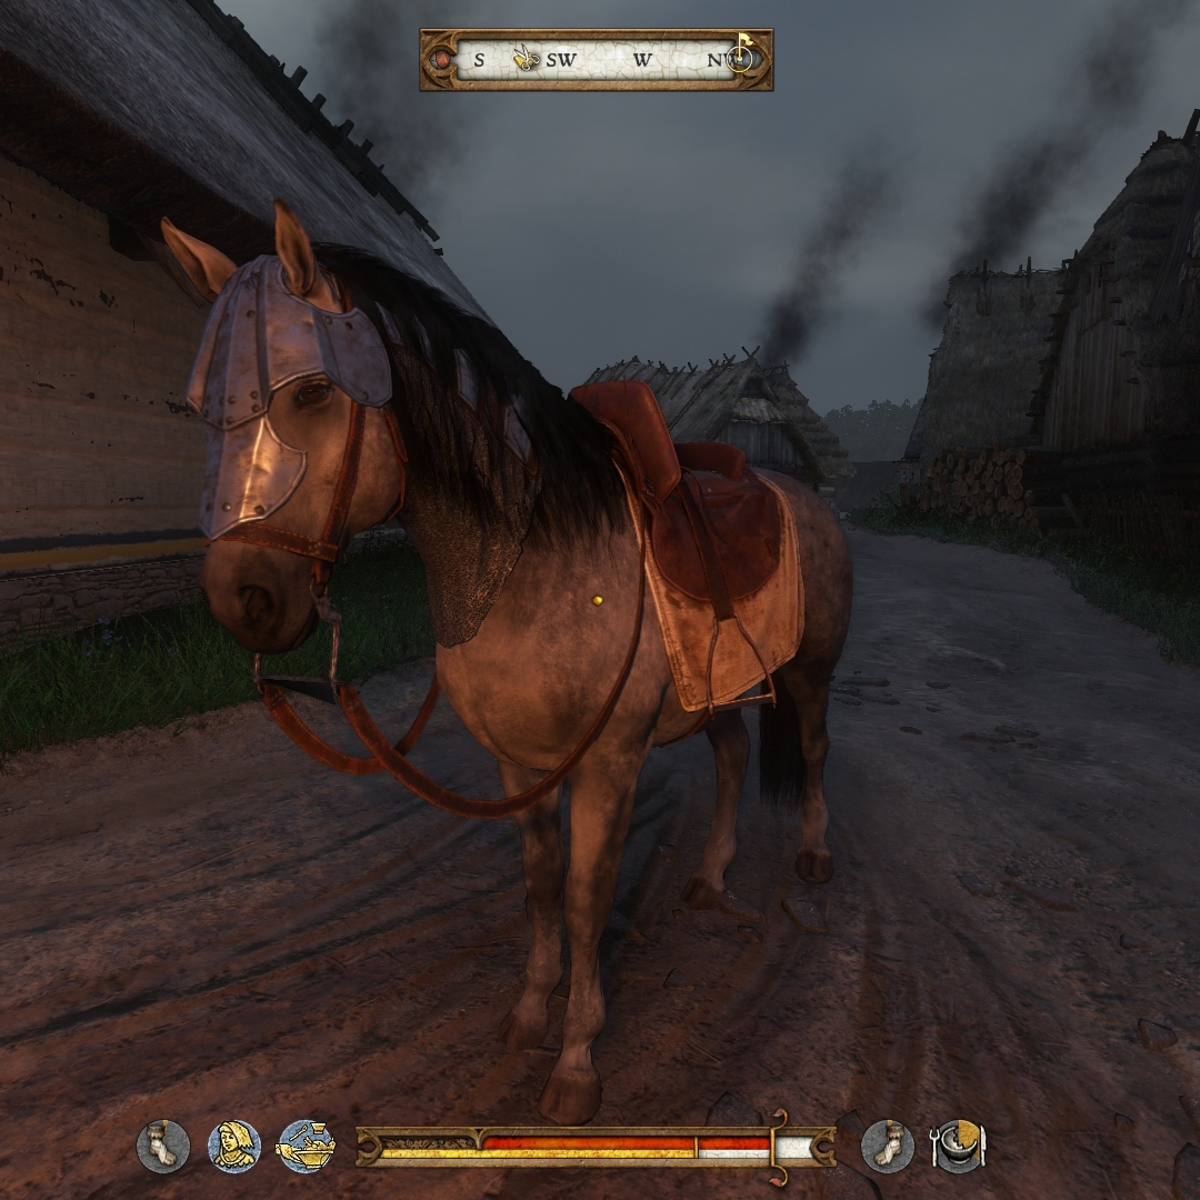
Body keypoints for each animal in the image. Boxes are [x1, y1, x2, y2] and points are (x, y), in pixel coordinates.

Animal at [162, 199, 853, 1126]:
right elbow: (540, 885)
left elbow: (588, 899)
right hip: (721, 689)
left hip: (810, 674)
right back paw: (710, 879)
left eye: (310, 393)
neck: (537, 557)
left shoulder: (607, 764)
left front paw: (577, 1064)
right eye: (201, 409)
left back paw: (812, 856)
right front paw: (531, 1015)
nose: (244, 600)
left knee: (809, 749)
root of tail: (794, 487)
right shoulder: (518, 762)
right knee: (737, 755)